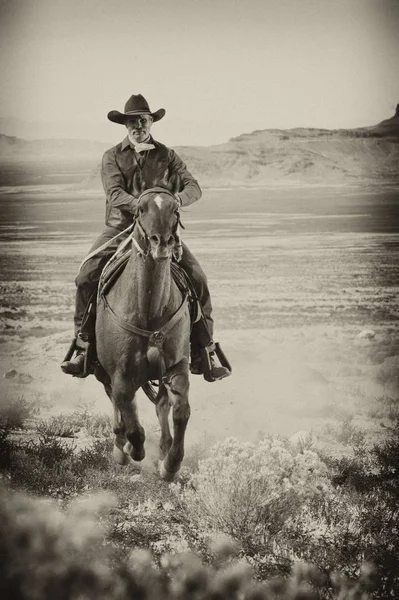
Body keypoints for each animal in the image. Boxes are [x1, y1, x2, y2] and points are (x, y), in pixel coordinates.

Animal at [96, 172, 191, 478]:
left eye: (175, 210)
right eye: (140, 209)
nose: (162, 243)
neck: (149, 311)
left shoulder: (177, 366)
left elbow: (180, 412)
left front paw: (171, 465)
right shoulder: (120, 375)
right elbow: (134, 427)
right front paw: (131, 449)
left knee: (161, 405)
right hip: (107, 374)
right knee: (118, 407)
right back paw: (121, 448)